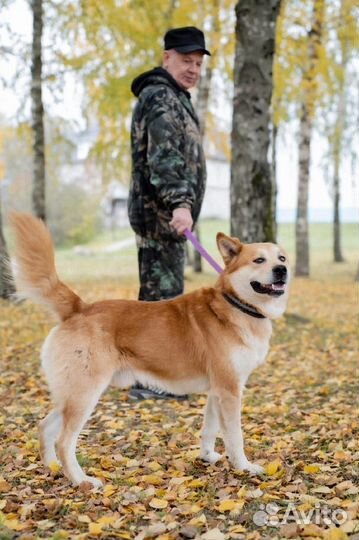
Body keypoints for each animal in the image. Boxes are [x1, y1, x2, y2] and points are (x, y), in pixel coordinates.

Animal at [9, 213, 290, 488]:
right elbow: (234, 436)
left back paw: (53, 468)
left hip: (72, 393)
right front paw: (244, 467)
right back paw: (81, 480)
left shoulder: (217, 391)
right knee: (63, 441)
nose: (282, 270)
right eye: (259, 260)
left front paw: (207, 456)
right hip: (85, 394)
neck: (236, 305)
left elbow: (209, 429)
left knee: (44, 427)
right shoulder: (230, 391)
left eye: (282, 257)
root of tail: (79, 308)